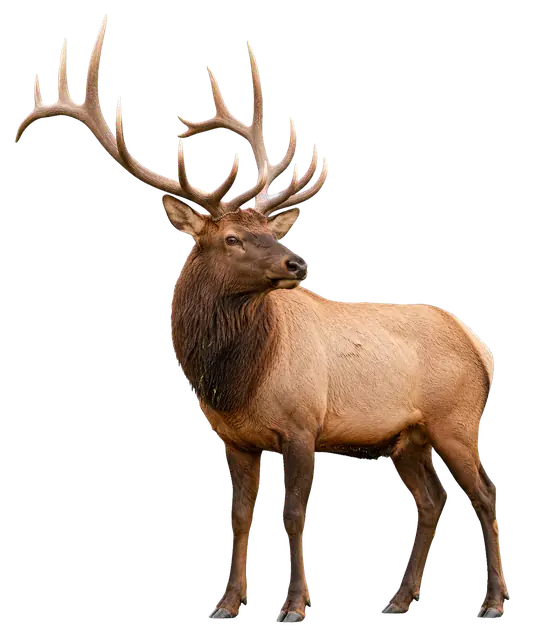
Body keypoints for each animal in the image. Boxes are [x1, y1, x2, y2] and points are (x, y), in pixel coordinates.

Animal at [13, 13, 508, 624]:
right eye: (231, 237)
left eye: (270, 232)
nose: (298, 263)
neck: (235, 380)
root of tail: (477, 345)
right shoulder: (233, 438)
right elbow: (240, 516)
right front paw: (226, 603)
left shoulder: (302, 422)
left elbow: (294, 514)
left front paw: (293, 607)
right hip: (406, 437)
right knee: (432, 499)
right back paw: (398, 597)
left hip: (456, 420)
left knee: (485, 496)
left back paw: (492, 603)